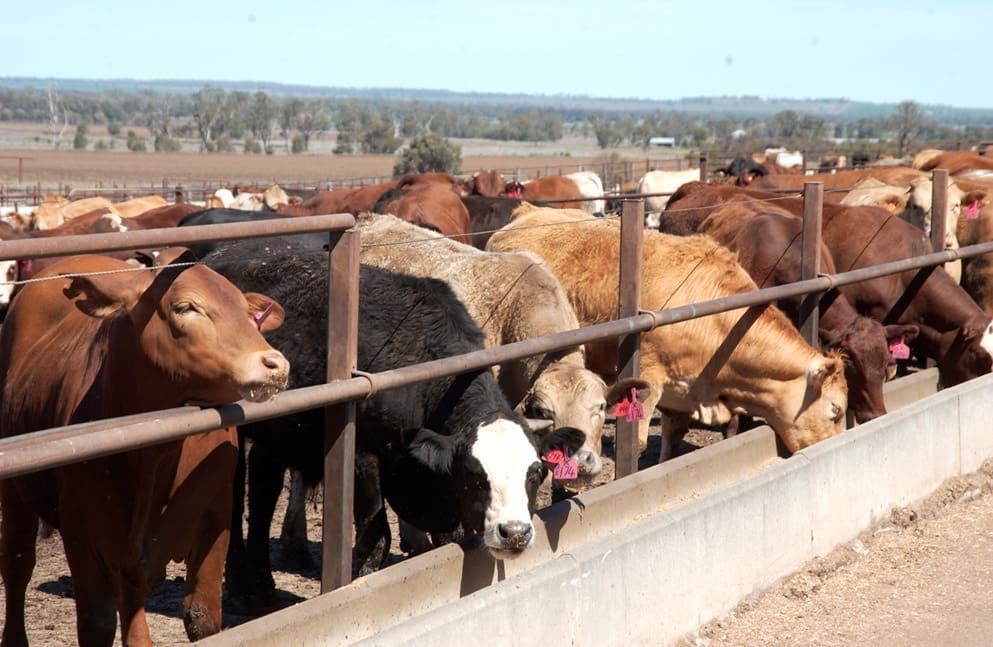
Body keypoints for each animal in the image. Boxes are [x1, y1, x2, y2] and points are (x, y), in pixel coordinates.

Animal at [0, 249, 290, 647]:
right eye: (186, 307)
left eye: (248, 312)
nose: (276, 364)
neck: (156, 457)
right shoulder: (84, 539)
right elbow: (97, 625)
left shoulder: (214, 522)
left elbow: (202, 617)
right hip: (16, 492)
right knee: (17, 565)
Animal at [192, 232, 580, 612]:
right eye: (474, 474)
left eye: (535, 472)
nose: (514, 533)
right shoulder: (363, 459)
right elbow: (377, 538)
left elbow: (448, 537)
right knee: (234, 498)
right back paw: (239, 589)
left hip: (278, 436)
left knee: (262, 494)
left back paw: (262, 588)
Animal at [488, 205, 844, 464]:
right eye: (836, 410)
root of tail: (528, 211)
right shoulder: (647, 378)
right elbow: (636, 443)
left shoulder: (682, 393)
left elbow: (672, 440)